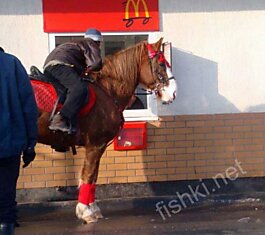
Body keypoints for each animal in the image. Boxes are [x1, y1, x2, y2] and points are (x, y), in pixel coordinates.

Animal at [35, 37, 175, 223]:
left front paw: (92, 208)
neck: (106, 90)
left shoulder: (98, 146)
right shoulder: (95, 145)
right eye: (161, 63)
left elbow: (93, 177)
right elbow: (88, 175)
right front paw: (85, 211)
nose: (173, 92)